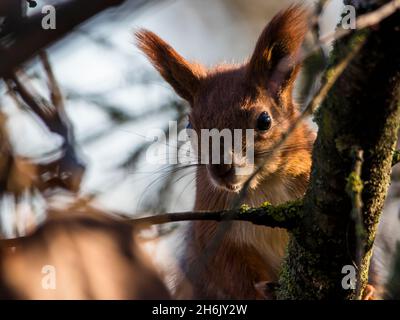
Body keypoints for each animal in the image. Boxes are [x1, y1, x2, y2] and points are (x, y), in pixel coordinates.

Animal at [138, 4, 316, 300]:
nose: (221, 168)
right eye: (190, 126)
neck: (263, 187)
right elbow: (232, 274)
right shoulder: (212, 230)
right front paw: (262, 292)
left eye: (264, 120)